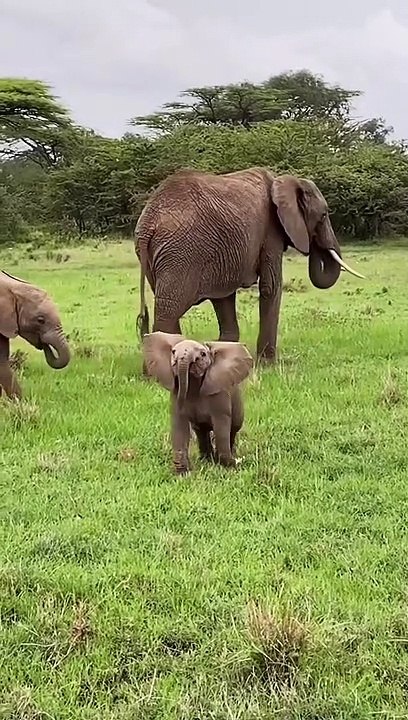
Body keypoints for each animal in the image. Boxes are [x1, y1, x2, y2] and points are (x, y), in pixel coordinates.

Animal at [135, 167, 364, 364]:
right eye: (323, 215)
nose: (316, 247)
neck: (283, 181)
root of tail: (149, 221)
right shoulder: (271, 232)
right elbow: (271, 287)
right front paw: (268, 364)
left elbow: (223, 297)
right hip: (181, 253)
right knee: (169, 309)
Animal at [143, 331, 253, 474]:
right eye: (173, 352)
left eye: (203, 354)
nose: (237, 462)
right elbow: (180, 424)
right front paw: (183, 473)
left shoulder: (219, 395)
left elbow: (221, 425)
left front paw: (227, 466)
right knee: (201, 432)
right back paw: (206, 460)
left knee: (233, 429)